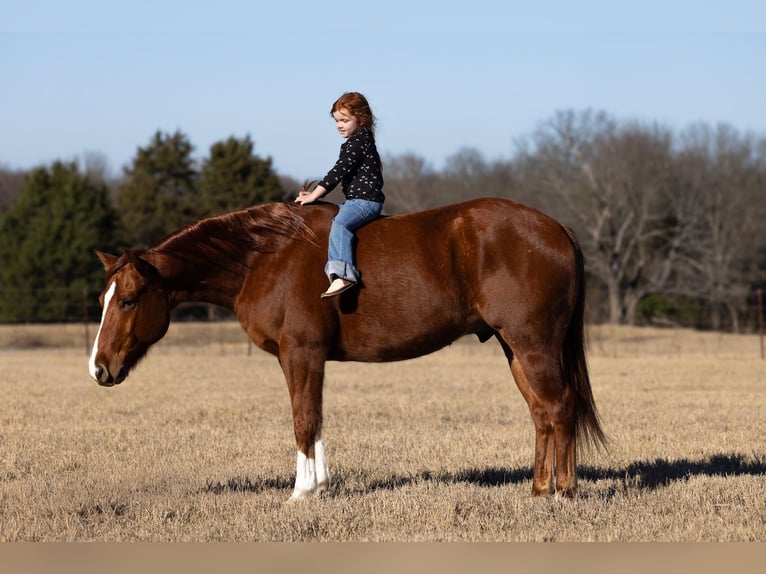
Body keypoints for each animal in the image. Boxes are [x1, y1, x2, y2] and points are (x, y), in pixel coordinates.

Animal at [88, 197, 606, 500]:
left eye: (128, 299)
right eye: (102, 300)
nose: (98, 369)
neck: (264, 257)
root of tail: (557, 228)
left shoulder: (300, 353)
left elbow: (303, 419)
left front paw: (300, 494)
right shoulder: (308, 358)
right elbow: (315, 419)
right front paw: (320, 486)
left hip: (533, 344)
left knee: (560, 408)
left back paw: (562, 493)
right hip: (514, 349)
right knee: (541, 413)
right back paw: (537, 490)